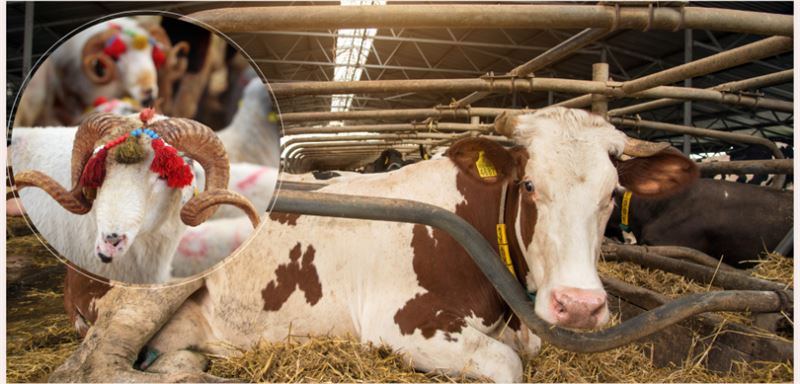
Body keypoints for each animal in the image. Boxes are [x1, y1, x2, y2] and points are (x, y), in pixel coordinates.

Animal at [51, 107, 700, 380]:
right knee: (88, 365)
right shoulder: (403, 324)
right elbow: (509, 365)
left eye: (613, 193)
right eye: (530, 185)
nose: (580, 307)